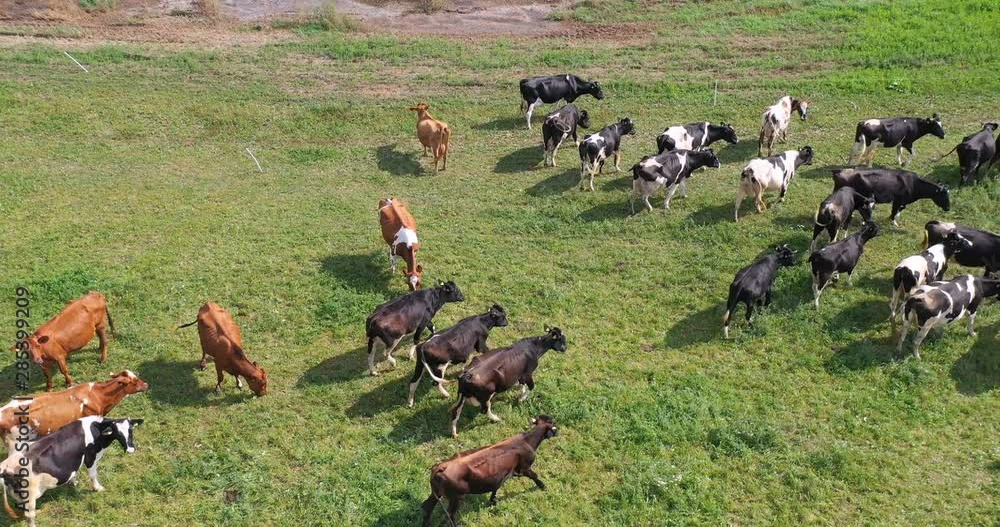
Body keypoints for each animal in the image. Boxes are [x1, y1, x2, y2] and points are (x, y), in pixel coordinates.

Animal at [0, 416, 143, 527]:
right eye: (117, 433)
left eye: (131, 430)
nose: (130, 450)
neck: (95, 428)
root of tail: (5, 466)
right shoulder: (91, 457)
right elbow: (93, 474)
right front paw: (97, 488)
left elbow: (75, 471)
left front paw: (73, 482)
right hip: (29, 493)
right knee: (29, 514)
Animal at [420, 416, 560, 527]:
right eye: (553, 424)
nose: (558, 431)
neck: (527, 440)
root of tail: (442, 466)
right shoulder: (525, 468)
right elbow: (534, 476)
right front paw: (542, 486)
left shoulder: (502, 474)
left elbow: (496, 487)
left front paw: (493, 501)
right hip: (456, 497)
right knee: (449, 515)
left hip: (437, 493)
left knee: (427, 507)